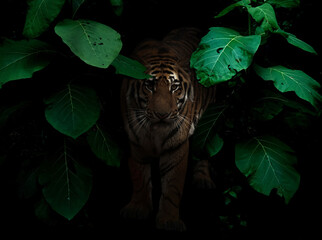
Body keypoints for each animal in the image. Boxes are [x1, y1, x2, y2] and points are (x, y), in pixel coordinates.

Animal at [120, 27, 216, 232]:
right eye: (149, 85)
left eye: (175, 87)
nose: (162, 114)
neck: (154, 131)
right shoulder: (136, 143)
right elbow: (139, 178)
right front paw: (137, 209)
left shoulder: (176, 146)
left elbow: (173, 187)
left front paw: (169, 221)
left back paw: (203, 179)